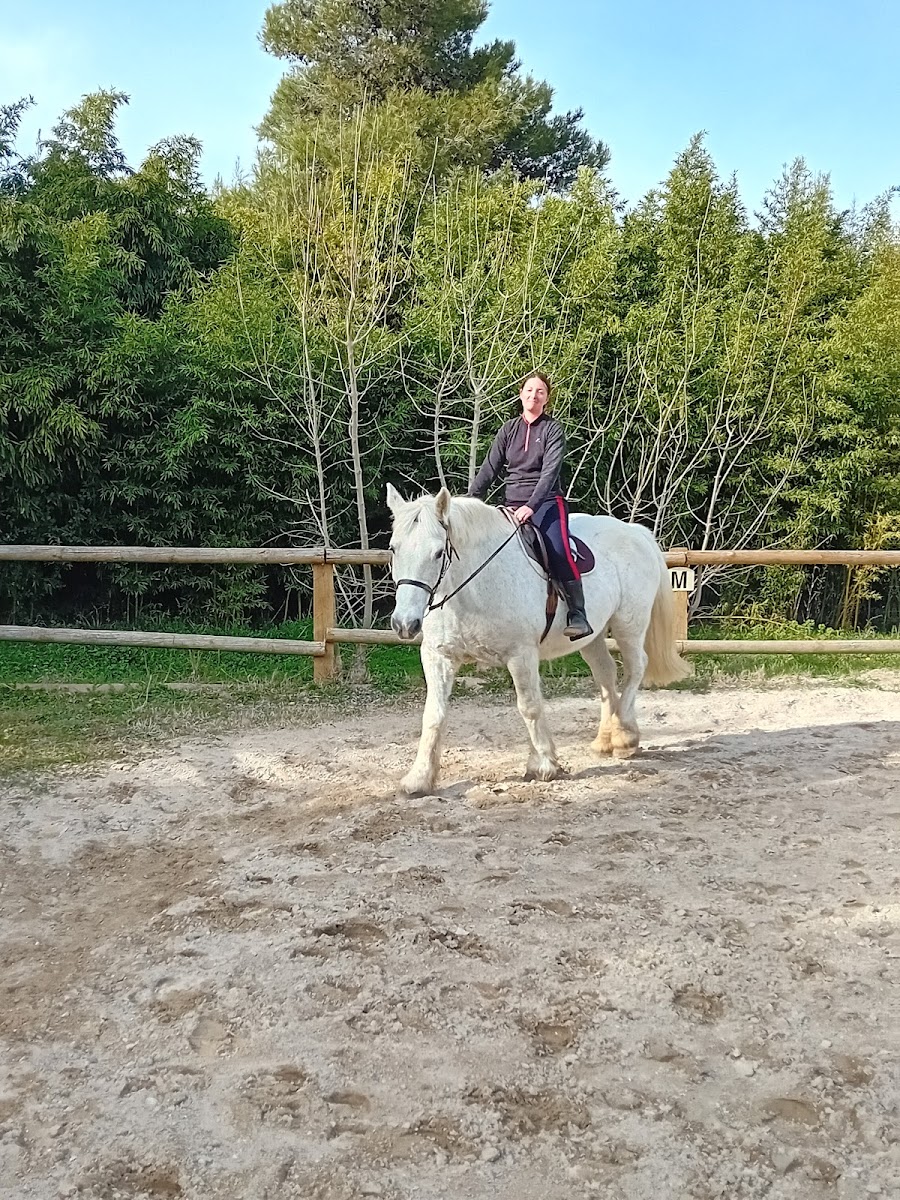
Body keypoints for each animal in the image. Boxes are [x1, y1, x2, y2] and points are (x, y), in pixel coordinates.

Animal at [387, 485, 691, 795]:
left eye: (438, 553)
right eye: (394, 548)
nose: (404, 624)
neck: (474, 584)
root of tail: (635, 531)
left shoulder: (521, 654)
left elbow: (529, 707)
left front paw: (543, 765)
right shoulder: (438, 656)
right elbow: (433, 714)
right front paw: (419, 778)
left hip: (629, 624)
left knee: (636, 667)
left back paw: (624, 735)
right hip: (592, 635)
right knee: (606, 674)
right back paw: (605, 740)